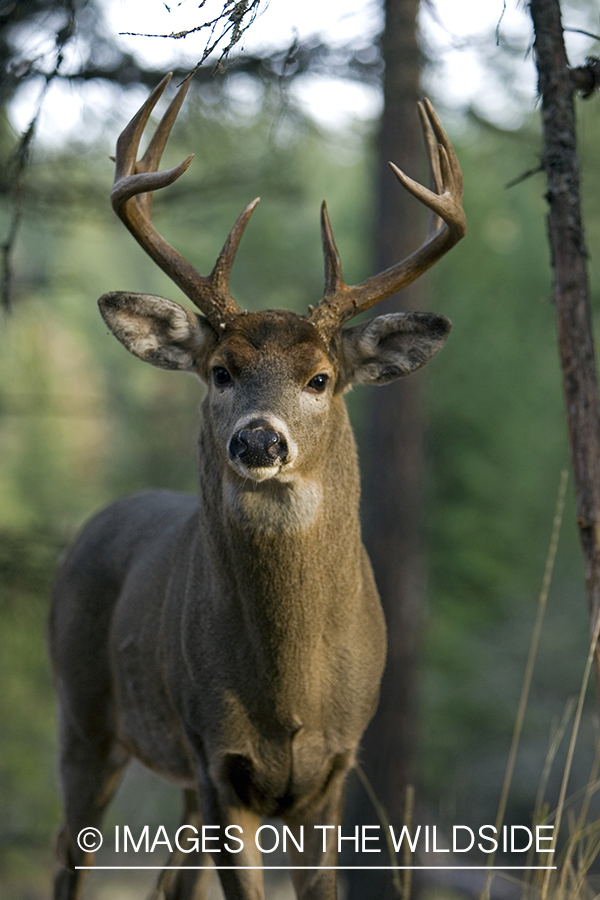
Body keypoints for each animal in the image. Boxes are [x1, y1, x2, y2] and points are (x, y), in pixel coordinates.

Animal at [49, 75, 466, 900]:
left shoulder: (333, 770)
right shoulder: (218, 761)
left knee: (167, 883)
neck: (289, 695)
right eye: (220, 370)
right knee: (66, 861)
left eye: (321, 378)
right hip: (83, 714)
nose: (259, 440)